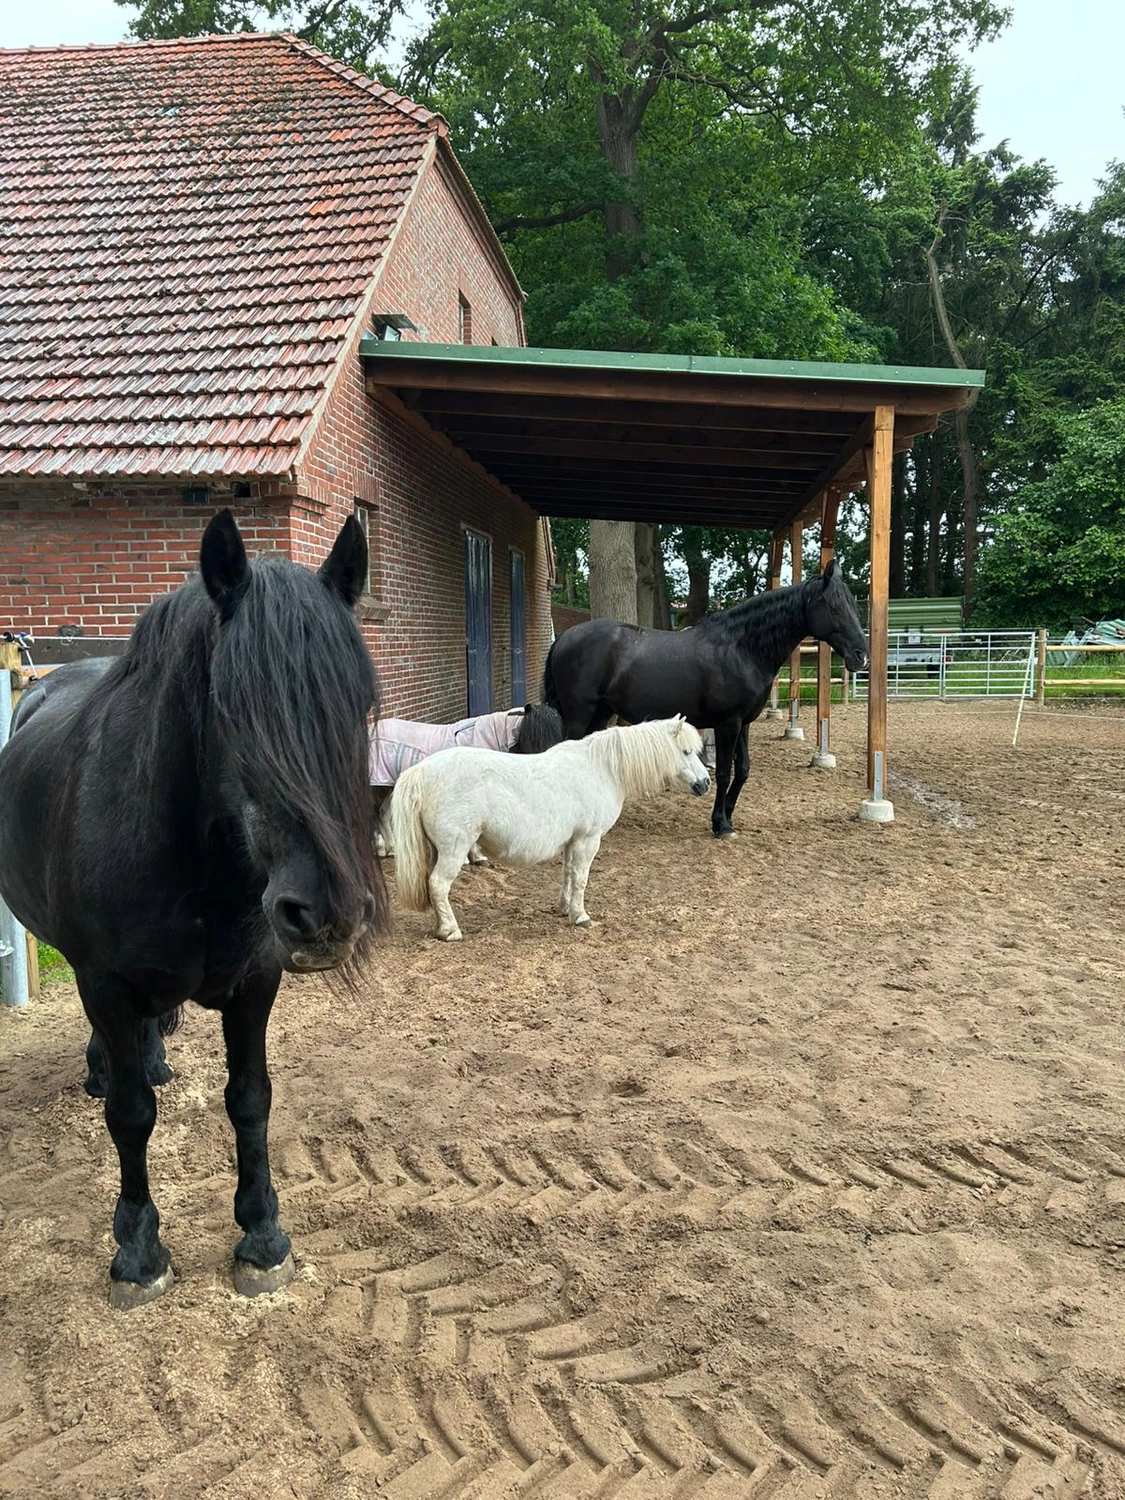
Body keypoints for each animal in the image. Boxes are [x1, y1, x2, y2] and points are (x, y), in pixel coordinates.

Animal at [0, 510, 384, 1309]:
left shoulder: (255, 984)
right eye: (233, 709)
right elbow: (129, 1116)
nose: (326, 915)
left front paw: (262, 1238)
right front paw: (138, 1251)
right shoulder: (105, 985)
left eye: (359, 704)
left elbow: (250, 1100)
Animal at [390, 715, 710, 941]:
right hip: (454, 849)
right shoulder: (588, 840)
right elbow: (581, 878)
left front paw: (565, 908)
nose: (705, 784)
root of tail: (420, 771)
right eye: (685, 752)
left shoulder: (573, 841)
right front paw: (581, 916)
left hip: (436, 849)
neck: (601, 768)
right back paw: (451, 931)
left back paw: (439, 926)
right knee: (438, 884)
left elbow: (568, 874)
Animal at [543, 560, 869, 838]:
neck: (742, 648)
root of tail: (564, 639)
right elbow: (725, 772)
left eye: (853, 604)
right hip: (579, 713)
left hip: (601, 712)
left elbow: (743, 770)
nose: (861, 655)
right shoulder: (728, 723)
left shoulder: (744, 723)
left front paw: (727, 817)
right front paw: (720, 825)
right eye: (835, 607)